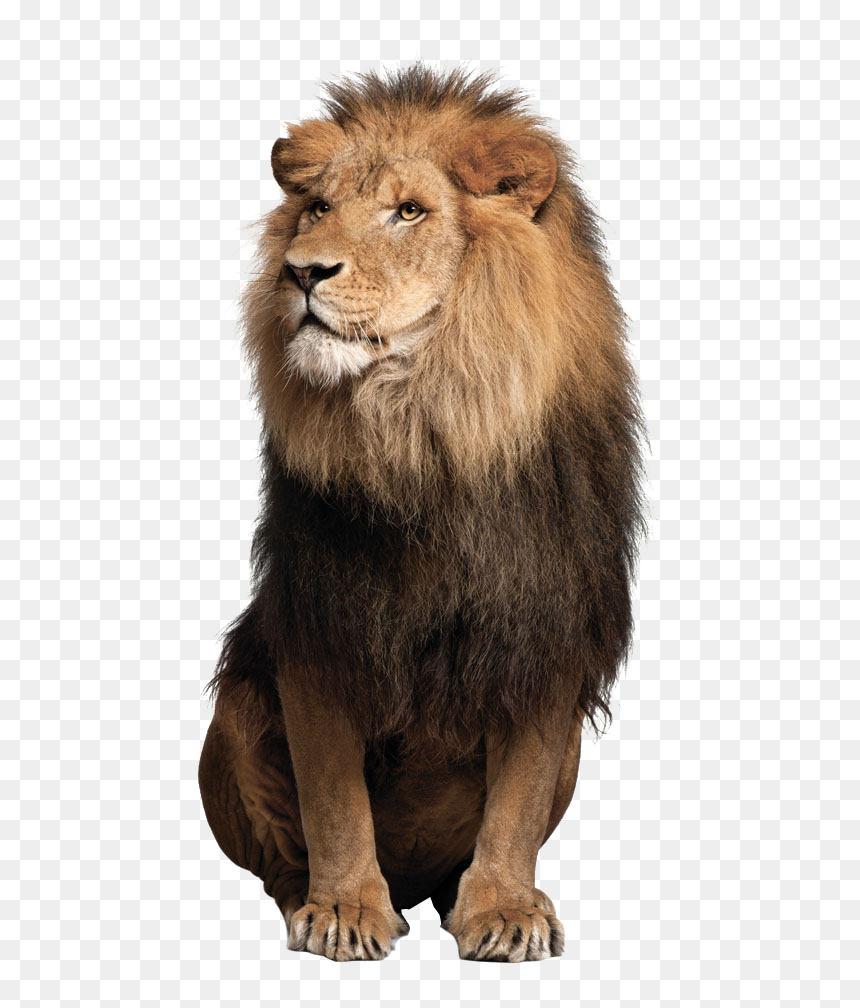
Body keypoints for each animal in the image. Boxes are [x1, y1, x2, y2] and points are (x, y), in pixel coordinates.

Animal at [199, 65, 644, 963]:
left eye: (409, 212)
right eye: (315, 208)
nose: (301, 272)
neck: (427, 431)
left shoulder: (545, 630)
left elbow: (516, 801)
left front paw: (503, 909)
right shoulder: (323, 625)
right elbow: (333, 799)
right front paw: (344, 910)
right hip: (233, 714)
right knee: (281, 858)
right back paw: (315, 901)